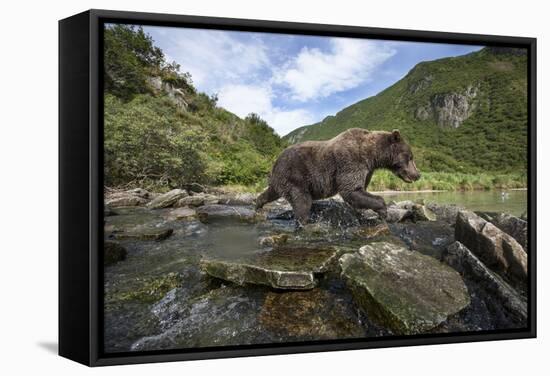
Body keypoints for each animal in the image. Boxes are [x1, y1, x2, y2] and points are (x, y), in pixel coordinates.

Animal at [258, 128, 422, 225]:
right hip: (296, 176)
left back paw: (258, 205)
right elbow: (350, 190)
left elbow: (359, 192)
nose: (418, 174)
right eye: (410, 157)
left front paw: (360, 214)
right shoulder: (352, 161)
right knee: (302, 202)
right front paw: (383, 211)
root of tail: (276, 162)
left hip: (281, 180)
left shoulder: (367, 170)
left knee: (270, 192)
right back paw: (305, 223)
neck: (372, 155)